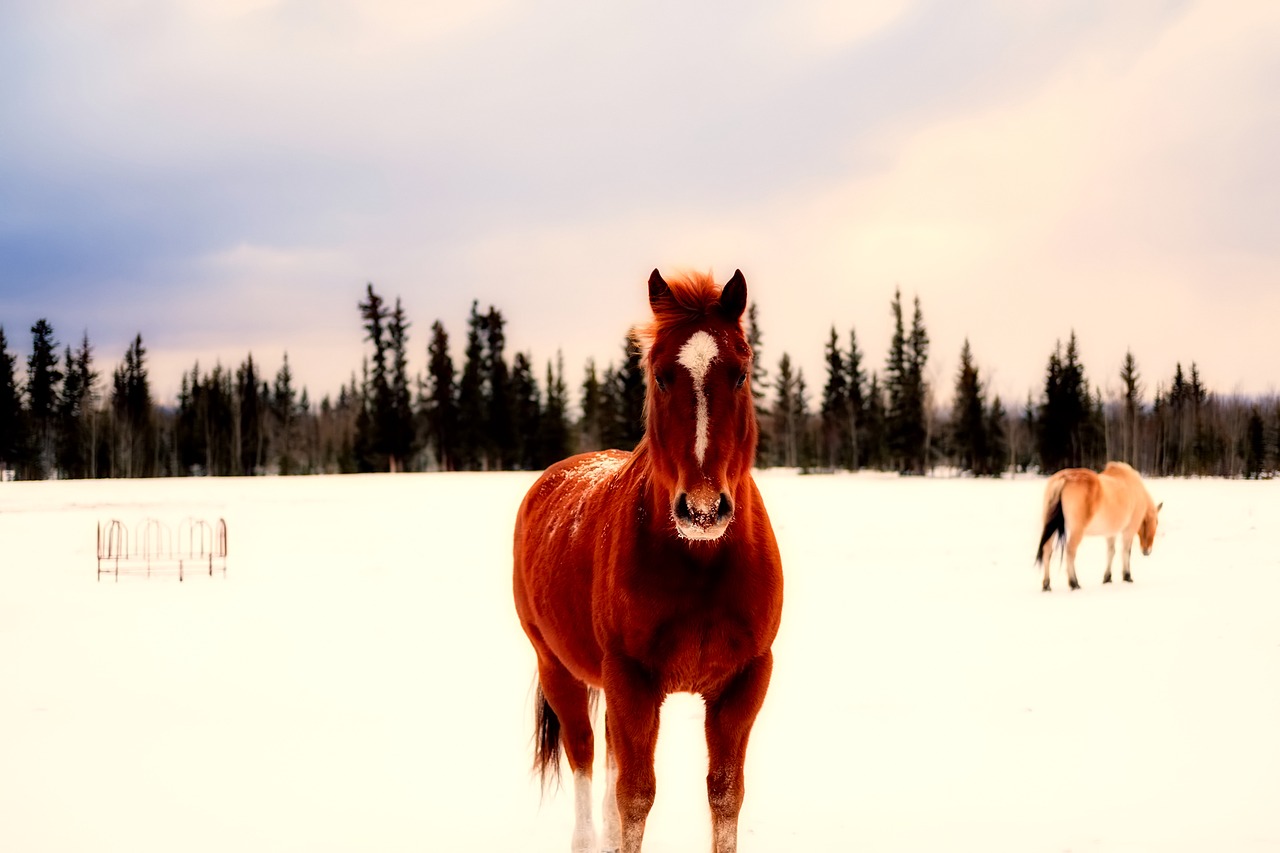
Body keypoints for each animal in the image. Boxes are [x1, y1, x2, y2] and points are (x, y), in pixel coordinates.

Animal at [509, 268, 778, 845]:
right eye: (660, 376)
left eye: (742, 374)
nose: (703, 508)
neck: (701, 564)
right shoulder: (631, 680)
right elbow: (634, 798)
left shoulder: (744, 682)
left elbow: (725, 795)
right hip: (558, 669)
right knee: (586, 759)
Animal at [1034, 458, 1167, 591]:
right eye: (1156, 522)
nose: (1147, 551)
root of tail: (1064, 478)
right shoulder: (1128, 531)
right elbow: (1126, 551)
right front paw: (1127, 576)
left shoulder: (1110, 533)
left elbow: (1111, 552)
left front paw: (1107, 578)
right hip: (1077, 531)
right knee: (1070, 551)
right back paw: (1074, 583)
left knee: (1047, 550)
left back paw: (1047, 584)